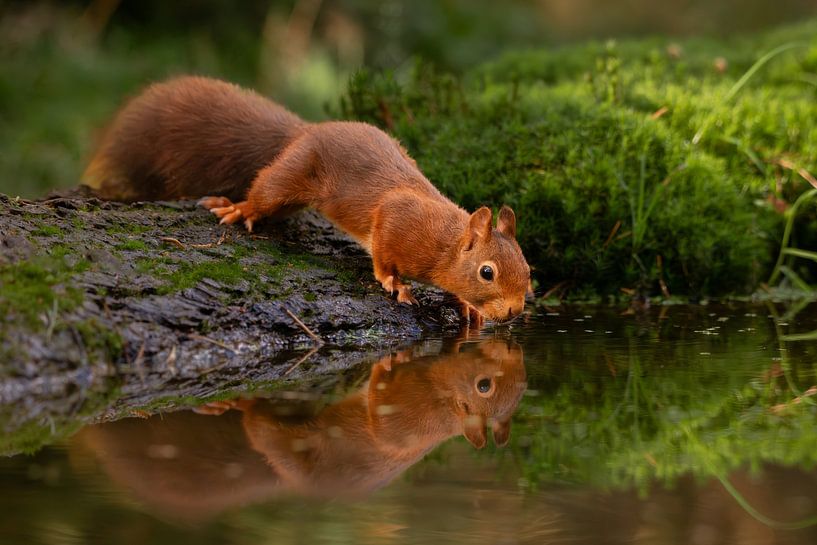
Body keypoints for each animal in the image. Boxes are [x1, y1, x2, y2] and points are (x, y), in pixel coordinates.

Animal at [82, 76, 531, 323]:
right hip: (293, 172)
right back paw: (239, 208)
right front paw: (394, 283)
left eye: (528, 269)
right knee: (265, 190)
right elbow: (383, 253)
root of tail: (304, 132)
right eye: (487, 272)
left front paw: (467, 307)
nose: (514, 312)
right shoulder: (397, 217)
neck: (445, 242)